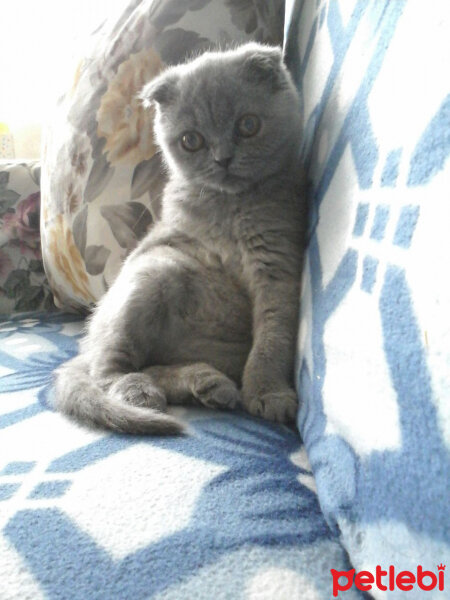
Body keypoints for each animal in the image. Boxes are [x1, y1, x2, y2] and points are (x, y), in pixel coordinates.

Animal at [51, 43, 306, 436]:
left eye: (248, 125)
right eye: (192, 140)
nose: (223, 159)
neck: (231, 207)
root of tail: (86, 344)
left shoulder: (276, 263)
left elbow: (272, 337)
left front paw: (268, 392)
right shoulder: (169, 240)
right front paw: (272, 396)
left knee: (153, 366)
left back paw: (207, 384)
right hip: (152, 271)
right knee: (109, 370)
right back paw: (142, 393)